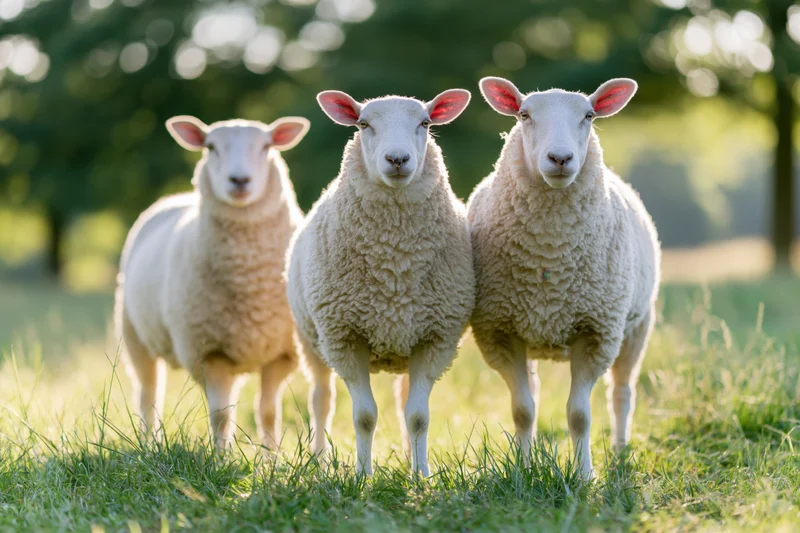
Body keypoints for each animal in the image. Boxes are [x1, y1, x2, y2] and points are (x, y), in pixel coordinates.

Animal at [115, 115, 309, 450]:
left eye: (266, 146)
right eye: (210, 147)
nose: (239, 180)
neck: (249, 277)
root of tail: (175, 197)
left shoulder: (282, 354)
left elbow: (268, 412)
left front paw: (271, 458)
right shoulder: (208, 353)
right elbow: (220, 415)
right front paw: (222, 457)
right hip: (135, 337)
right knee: (148, 394)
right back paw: (150, 444)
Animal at [286, 89, 474, 476]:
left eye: (425, 123)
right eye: (363, 124)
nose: (398, 159)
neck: (395, 259)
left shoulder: (436, 339)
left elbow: (418, 417)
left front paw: (422, 476)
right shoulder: (344, 337)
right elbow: (364, 416)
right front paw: (362, 475)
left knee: (403, 402)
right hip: (311, 342)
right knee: (321, 400)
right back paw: (319, 460)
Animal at [467, 77, 661, 479]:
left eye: (588, 115)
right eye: (524, 115)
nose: (560, 159)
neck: (550, 255)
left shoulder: (597, 332)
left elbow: (579, 415)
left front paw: (584, 475)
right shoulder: (500, 332)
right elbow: (523, 410)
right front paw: (522, 469)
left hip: (636, 326)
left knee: (622, 393)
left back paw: (620, 451)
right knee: (537, 394)